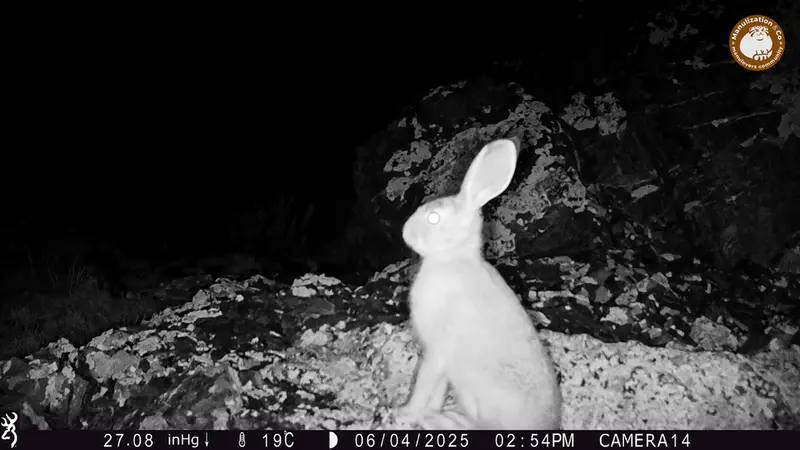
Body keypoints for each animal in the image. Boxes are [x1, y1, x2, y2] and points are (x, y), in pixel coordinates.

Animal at [397, 138, 562, 430]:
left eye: (433, 218)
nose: (406, 232)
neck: (452, 259)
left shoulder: (438, 349)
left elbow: (425, 384)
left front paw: (406, 413)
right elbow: (437, 390)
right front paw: (426, 412)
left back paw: (447, 421)